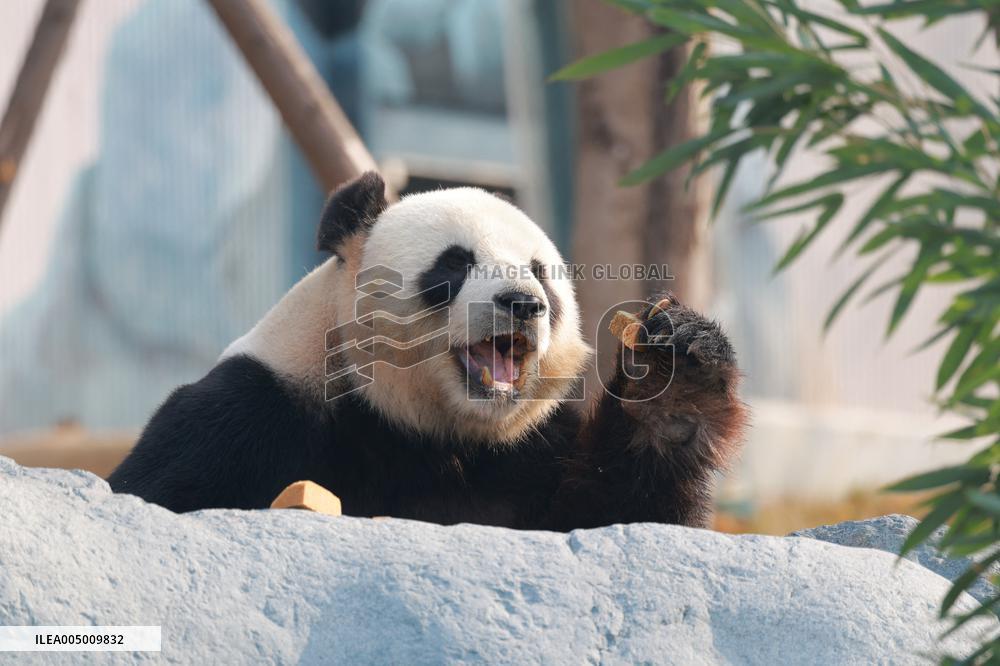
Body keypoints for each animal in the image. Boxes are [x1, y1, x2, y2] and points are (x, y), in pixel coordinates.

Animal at [109, 172, 747, 530]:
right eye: (454, 265)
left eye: (541, 273)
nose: (523, 303)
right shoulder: (252, 412)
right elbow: (160, 491)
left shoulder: (532, 450)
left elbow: (621, 516)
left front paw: (676, 377)